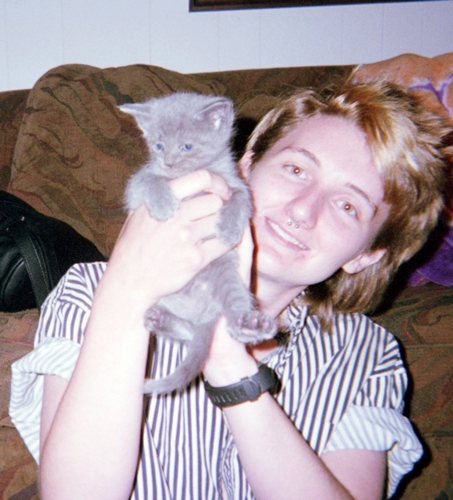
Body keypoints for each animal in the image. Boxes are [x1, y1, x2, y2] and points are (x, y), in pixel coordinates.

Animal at [120, 92, 276, 395]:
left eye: (187, 146)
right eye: (159, 145)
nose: (169, 162)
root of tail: (203, 310)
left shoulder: (235, 183)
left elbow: (241, 198)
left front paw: (228, 228)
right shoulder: (138, 183)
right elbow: (149, 178)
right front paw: (163, 204)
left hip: (228, 278)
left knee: (229, 313)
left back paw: (251, 325)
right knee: (190, 332)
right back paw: (161, 320)